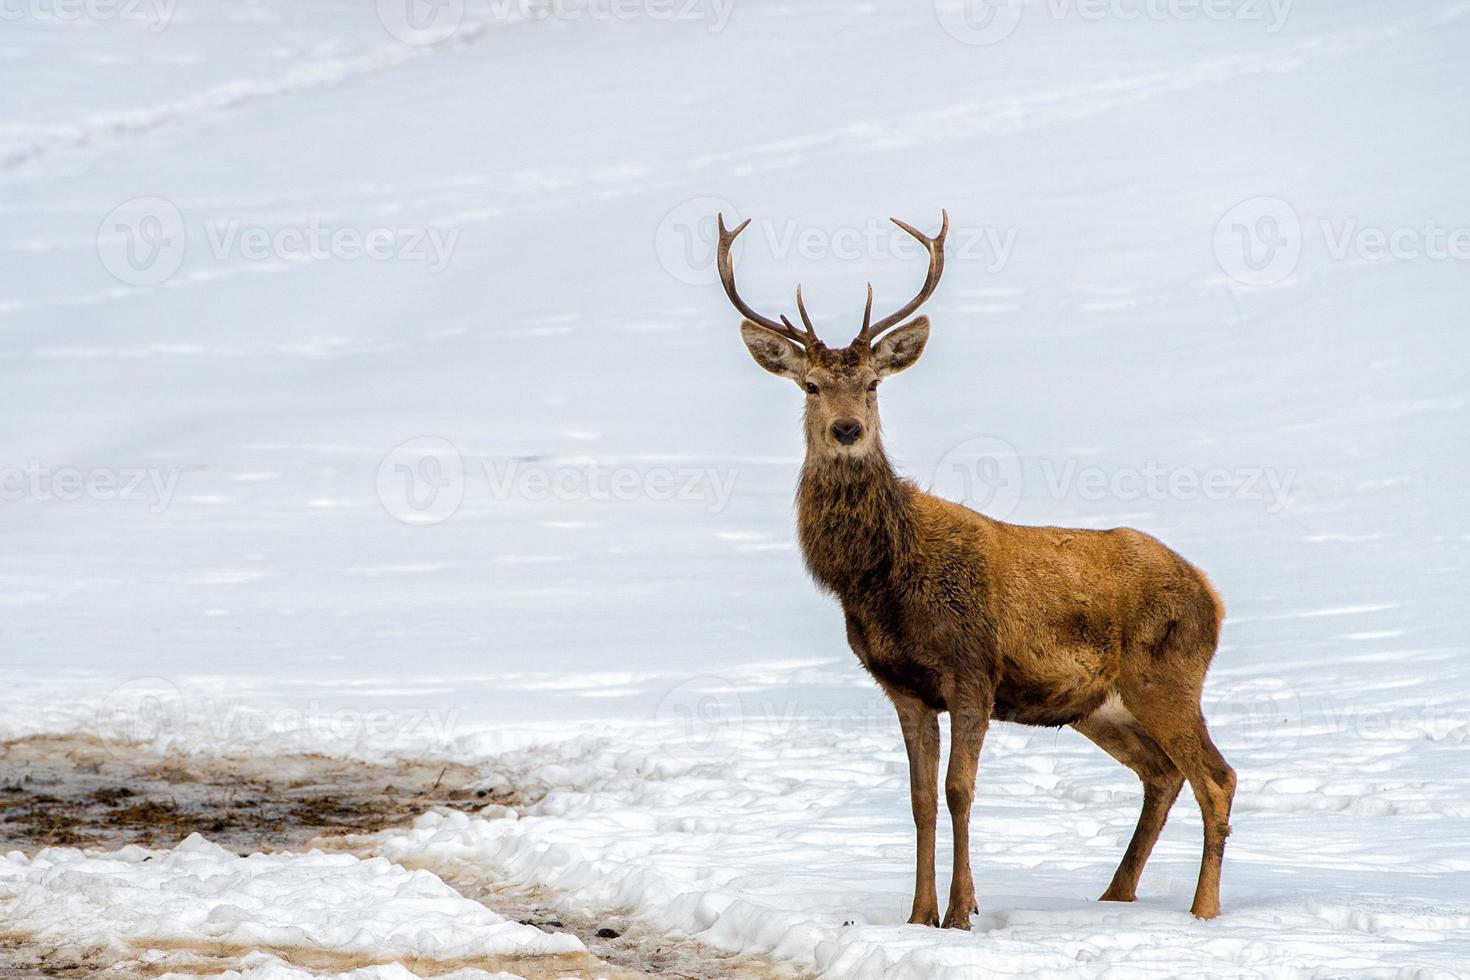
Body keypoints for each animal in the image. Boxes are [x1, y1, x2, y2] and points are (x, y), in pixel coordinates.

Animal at [717, 211, 1234, 934]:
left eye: (873, 384)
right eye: (811, 385)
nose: (847, 430)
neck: (880, 579)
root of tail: (1211, 594)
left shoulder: (972, 668)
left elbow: (959, 789)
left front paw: (962, 912)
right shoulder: (903, 686)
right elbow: (919, 799)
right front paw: (917, 915)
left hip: (1167, 673)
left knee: (1217, 778)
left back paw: (1203, 911)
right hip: (1098, 705)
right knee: (1162, 773)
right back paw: (1115, 895)